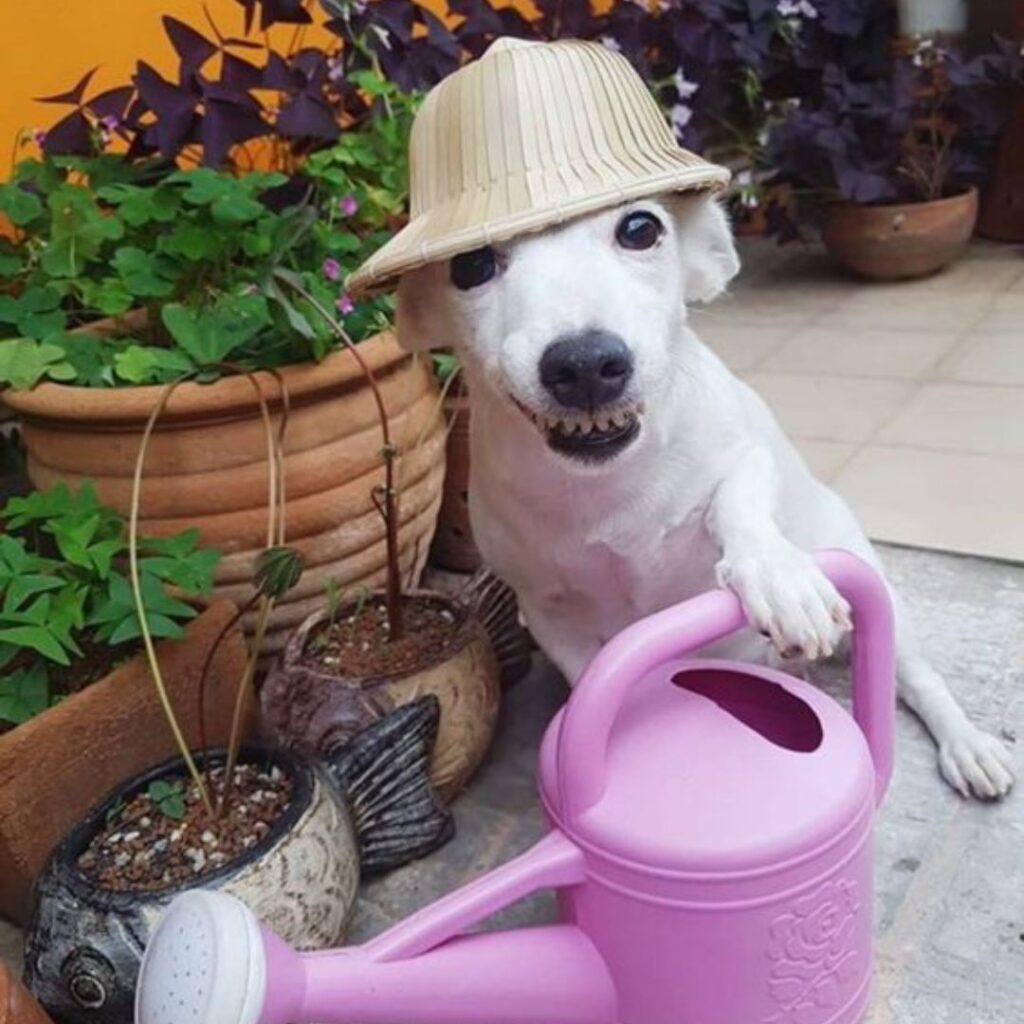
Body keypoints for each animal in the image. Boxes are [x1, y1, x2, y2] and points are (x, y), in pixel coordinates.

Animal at [395, 192, 1011, 798]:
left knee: (919, 680)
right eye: (470, 265)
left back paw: (968, 745)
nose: (586, 363)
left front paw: (777, 576)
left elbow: (737, 497)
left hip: (879, 598)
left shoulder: (747, 452)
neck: (607, 484)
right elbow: (592, 675)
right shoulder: (550, 618)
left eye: (640, 229)